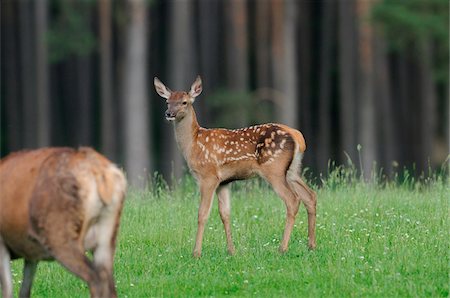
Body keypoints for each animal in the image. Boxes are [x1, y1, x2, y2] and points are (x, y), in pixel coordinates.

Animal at [0, 148, 126, 296]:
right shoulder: (30, 253)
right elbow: (24, 291)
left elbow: (8, 290)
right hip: (106, 237)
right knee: (108, 281)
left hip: (59, 233)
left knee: (96, 278)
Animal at [155, 75, 316, 258]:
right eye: (167, 101)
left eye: (184, 102)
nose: (169, 114)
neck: (193, 144)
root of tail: (298, 137)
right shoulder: (223, 182)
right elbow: (225, 214)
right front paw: (231, 250)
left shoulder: (208, 176)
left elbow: (202, 214)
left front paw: (196, 253)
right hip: (293, 170)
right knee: (310, 196)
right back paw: (311, 245)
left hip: (273, 169)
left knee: (293, 199)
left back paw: (282, 248)